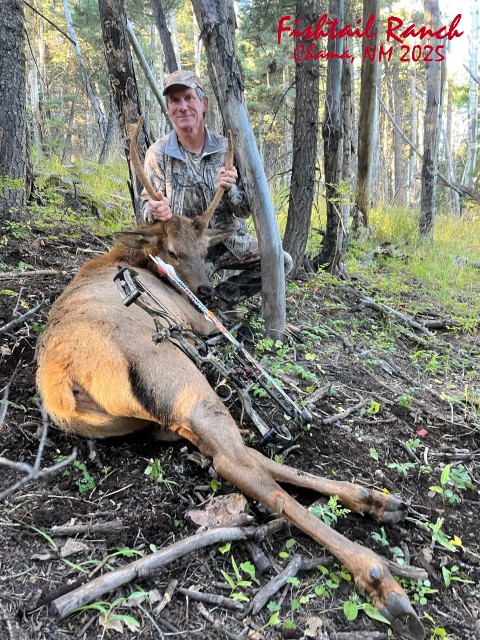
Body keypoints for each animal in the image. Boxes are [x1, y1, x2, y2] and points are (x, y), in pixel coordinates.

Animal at [36, 120, 425, 640]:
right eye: (172, 250)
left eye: (205, 248)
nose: (203, 289)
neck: (134, 260)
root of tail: (62, 381)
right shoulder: (198, 324)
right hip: (178, 375)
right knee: (240, 464)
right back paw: (380, 575)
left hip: (166, 408)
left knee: (241, 455)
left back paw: (376, 499)